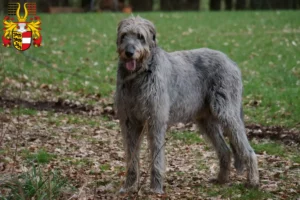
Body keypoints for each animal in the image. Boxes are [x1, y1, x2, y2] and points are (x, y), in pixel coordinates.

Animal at [113, 15, 258, 194]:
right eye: (124, 35)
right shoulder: (130, 122)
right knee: (225, 150)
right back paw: (221, 179)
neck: (138, 76)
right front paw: (129, 186)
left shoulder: (156, 120)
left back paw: (253, 181)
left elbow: (156, 157)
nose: (129, 53)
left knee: (247, 149)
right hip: (206, 121)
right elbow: (131, 156)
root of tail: (232, 62)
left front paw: (156, 188)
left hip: (227, 112)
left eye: (140, 36)